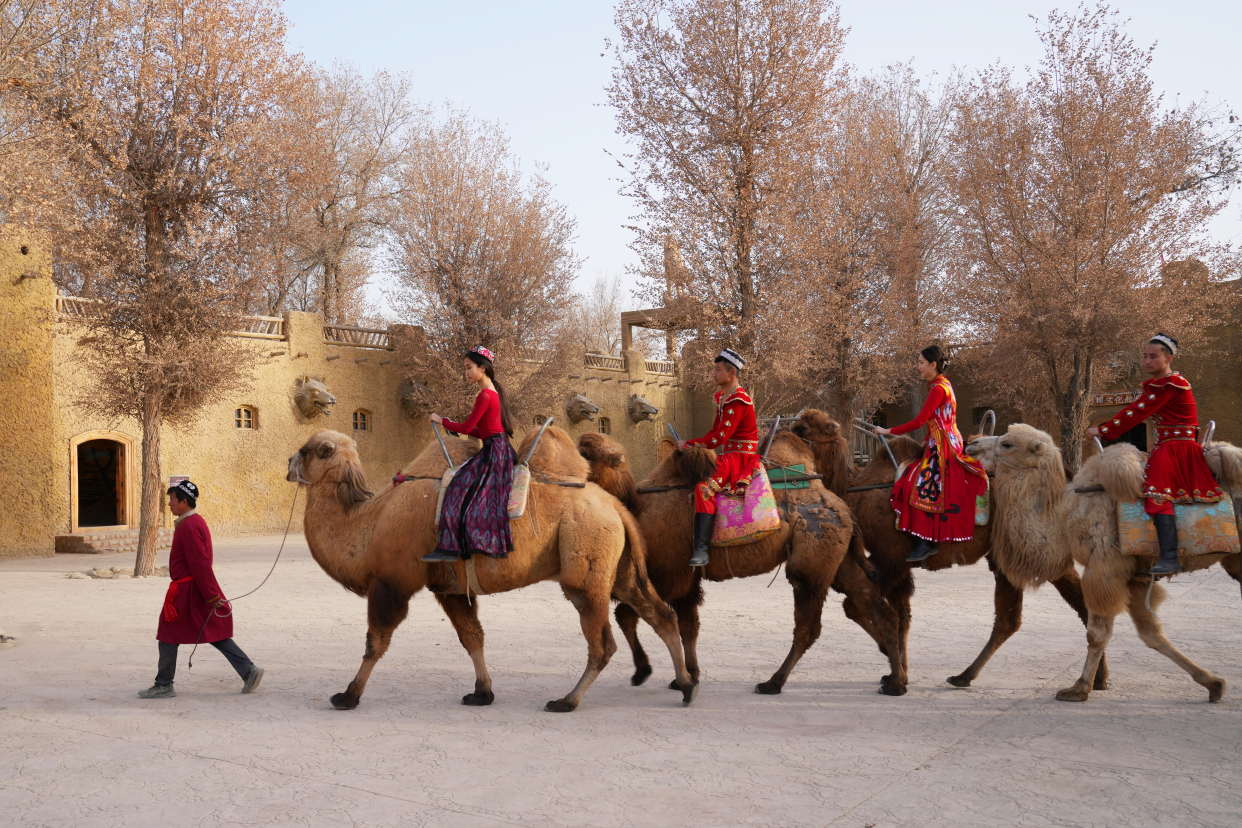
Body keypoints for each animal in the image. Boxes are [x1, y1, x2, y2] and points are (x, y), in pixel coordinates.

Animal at [288, 427, 700, 715]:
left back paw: (566, 701)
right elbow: (472, 638)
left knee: (603, 643)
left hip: (585, 571)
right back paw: (685, 686)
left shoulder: (392, 581)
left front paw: (347, 696)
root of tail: (618, 508)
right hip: (622, 569)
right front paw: (482, 693)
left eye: (311, 450)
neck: (370, 523)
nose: (290, 464)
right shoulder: (449, 587)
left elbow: (376, 642)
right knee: (661, 616)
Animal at [571, 431, 904, 695]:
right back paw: (895, 680)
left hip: (812, 563)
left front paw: (644, 671)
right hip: (840, 561)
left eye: (587, 456)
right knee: (877, 608)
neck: (640, 508)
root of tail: (843, 509)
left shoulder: (670, 573)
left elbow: (631, 615)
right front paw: (688, 676)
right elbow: (688, 625)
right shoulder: (687, 578)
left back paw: (772, 683)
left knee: (808, 626)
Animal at [784, 412, 1107, 695]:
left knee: (1074, 604)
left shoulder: (890, 558)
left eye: (801, 428)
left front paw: (892, 670)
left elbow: (855, 607)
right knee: (1013, 618)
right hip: (1005, 554)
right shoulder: (899, 566)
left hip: (1037, 546)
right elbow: (903, 616)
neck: (858, 490)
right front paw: (897, 672)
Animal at [1053, 436, 1242, 705]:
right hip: (1235, 560)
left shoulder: (1104, 566)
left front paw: (1078, 689)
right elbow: (1151, 633)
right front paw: (1213, 684)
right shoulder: (1134, 578)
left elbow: (1096, 634)